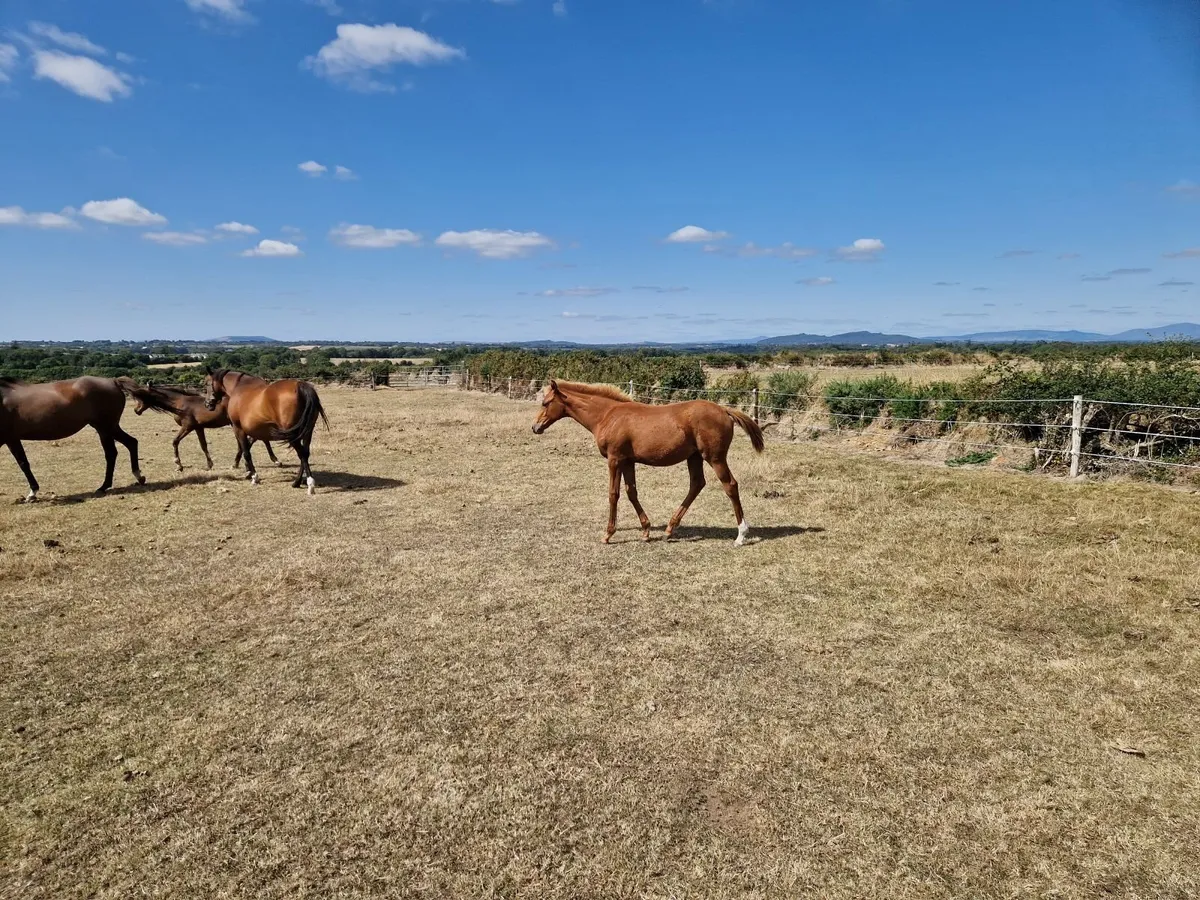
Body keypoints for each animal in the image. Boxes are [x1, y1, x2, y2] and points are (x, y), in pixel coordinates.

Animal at [1, 376, 146, 501]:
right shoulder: (11, 439)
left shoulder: (9, 438)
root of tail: (113, 381)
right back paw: (136, 478)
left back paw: (105, 486)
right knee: (128, 444)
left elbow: (23, 464)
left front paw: (32, 493)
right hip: (106, 428)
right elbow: (23, 463)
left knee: (114, 452)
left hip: (106, 427)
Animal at [117, 378, 280, 472]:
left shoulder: (187, 427)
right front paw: (209, 464)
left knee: (255, 440)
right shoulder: (198, 428)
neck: (180, 404)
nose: (136, 410)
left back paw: (271, 460)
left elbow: (175, 441)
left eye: (142, 396)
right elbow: (203, 446)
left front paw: (179, 465)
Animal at [531, 379, 764, 545]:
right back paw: (669, 529)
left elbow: (613, 494)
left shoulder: (615, 459)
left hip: (715, 458)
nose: (535, 427)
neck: (607, 416)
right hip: (694, 457)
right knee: (697, 484)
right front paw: (645, 530)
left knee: (730, 485)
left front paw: (608, 534)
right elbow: (631, 492)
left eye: (545, 403)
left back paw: (741, 535)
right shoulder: (628, 461)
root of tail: (724, 410)